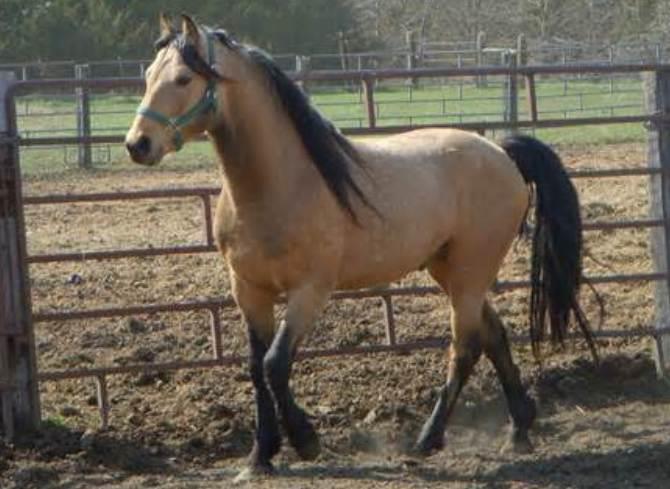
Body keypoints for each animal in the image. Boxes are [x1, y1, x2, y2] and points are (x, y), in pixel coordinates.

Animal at [125, 14, 597, 478]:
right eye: (148, 75)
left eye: (184, 78)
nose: (137, 144)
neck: (280, 185)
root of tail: (502, 152)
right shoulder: (249, 290)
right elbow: (257, 369)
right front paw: (260, 457)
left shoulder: (310, 291)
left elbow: (276, 364)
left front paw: (306, 442)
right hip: (451, 270)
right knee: (494, 336)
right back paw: (519, 429)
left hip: (470, 272)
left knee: (465, 348)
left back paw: (426, 441)